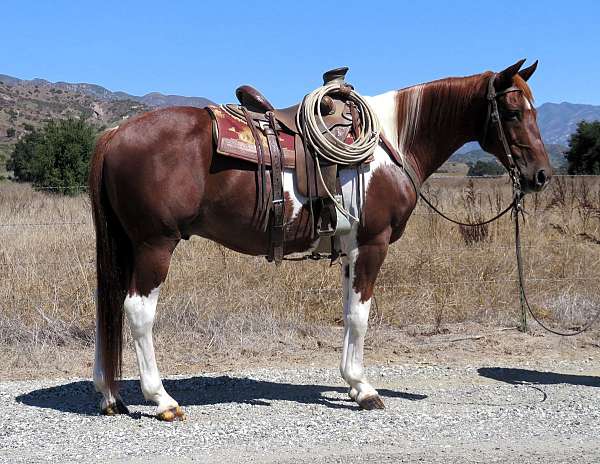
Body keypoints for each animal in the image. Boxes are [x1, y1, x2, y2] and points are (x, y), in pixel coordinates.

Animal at [89, 59, 552, 420]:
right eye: (512, 111)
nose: (541, 175)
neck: (392, 143)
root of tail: (116, 132)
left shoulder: (350, 250)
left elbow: (348, 314)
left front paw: (352, 384)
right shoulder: (372, 244)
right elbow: (360, 317)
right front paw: (364, 390)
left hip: (128, 245)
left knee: (108, 305)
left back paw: (110, 396)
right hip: (155, 244)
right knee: (136, 311)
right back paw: (162, 399)